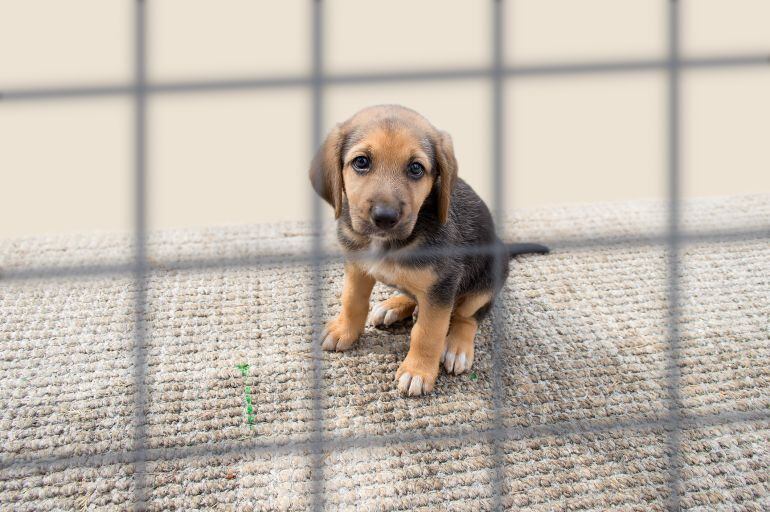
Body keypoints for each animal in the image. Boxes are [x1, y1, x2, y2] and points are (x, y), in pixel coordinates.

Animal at [308, 106, 544, 398]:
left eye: (416, 168)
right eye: (361, 162)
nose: (385, 217)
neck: (390, 243)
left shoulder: (443, 285)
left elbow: (428, 333)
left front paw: (417, 371)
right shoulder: (357, 267)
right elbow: (352, 301)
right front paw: (345, 330)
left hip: (486, 280)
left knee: (468, 316)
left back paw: (457, 347)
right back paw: (394, 305)